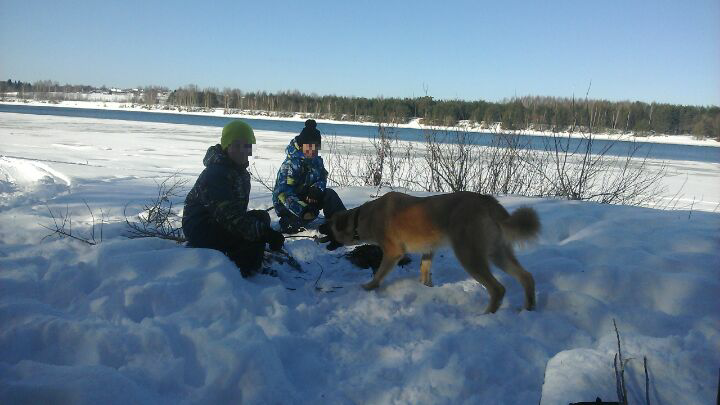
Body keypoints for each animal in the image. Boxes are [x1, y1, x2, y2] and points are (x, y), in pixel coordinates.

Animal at [320, 190, 540, 312]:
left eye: (328, 224)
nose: (319, 227)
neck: (362, 218)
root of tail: (489, 201)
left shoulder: (392, 252)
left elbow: (379, 274)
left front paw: (368, 287)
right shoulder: (429, 250)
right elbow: (424, 271)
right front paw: (424, 289)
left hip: (469, 255)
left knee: (498, 289)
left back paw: (485, 316)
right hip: (497, 253)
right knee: (527, 276)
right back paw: (528, 308)